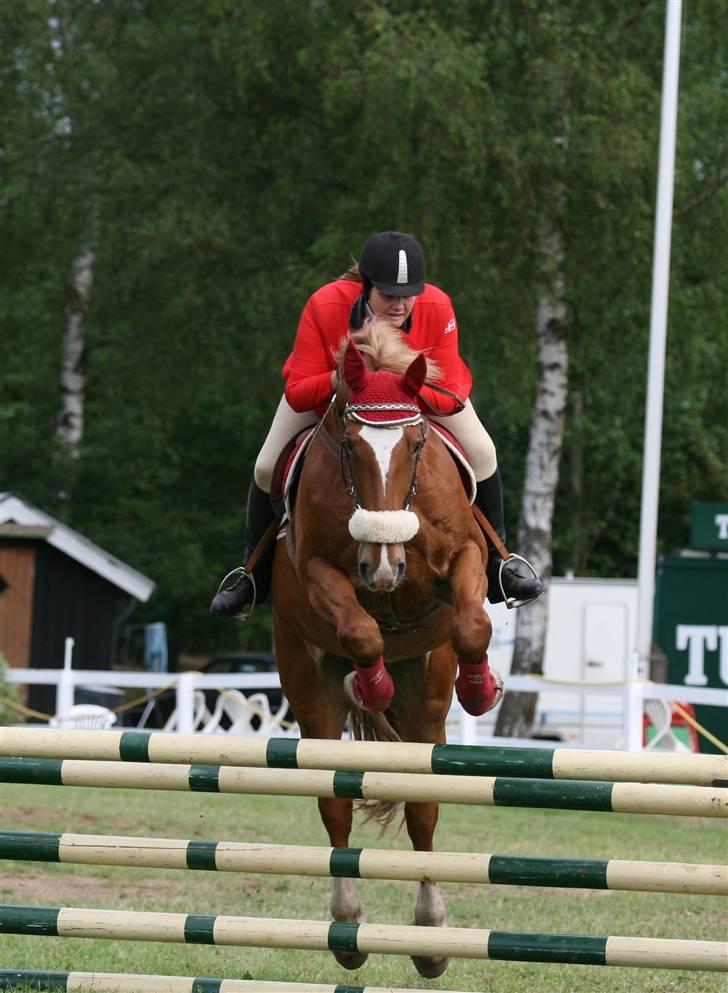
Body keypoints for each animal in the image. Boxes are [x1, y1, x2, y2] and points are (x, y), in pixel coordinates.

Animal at [268, 318, 500, 976]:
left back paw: (430, 937)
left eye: (417, 444)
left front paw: (481, 691)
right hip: (309, 693)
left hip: (426, 703)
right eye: (349, 446)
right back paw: (348, 927)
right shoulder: (316, 570)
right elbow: (360, 629)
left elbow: (472, 625)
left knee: (423, 806)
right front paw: (370, 683)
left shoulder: (466, 558)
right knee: (335, 804)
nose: (383, 565)